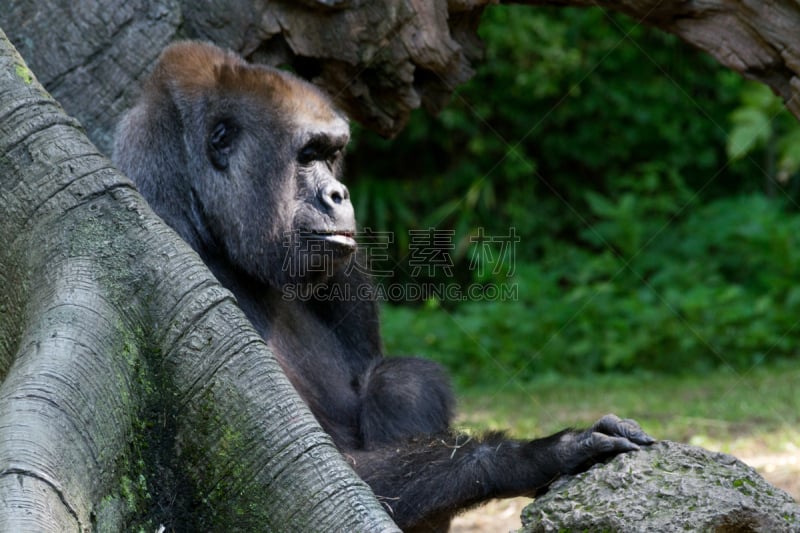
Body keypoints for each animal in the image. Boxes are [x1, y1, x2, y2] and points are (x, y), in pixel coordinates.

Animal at [114, 41, 656, 532]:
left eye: (333, 154)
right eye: (307, 155)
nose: (340, 194)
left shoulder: (346, 265)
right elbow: (308, 474)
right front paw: (538, 455)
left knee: (400, 380)